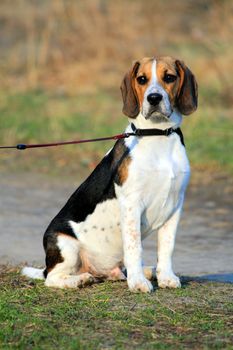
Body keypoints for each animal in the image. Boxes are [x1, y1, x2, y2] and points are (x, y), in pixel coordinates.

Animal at [21, 56, 198, 292]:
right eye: (142, 79)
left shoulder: (175, 204)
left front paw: (166, 277)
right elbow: (134, 247)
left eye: (169, 77)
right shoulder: (132, 204)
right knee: (52, 277)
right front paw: (138, 283)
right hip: (65, 244)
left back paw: (147, 271)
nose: (154, 98)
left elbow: (166, 247)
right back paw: (81, 279)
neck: (157, 134)